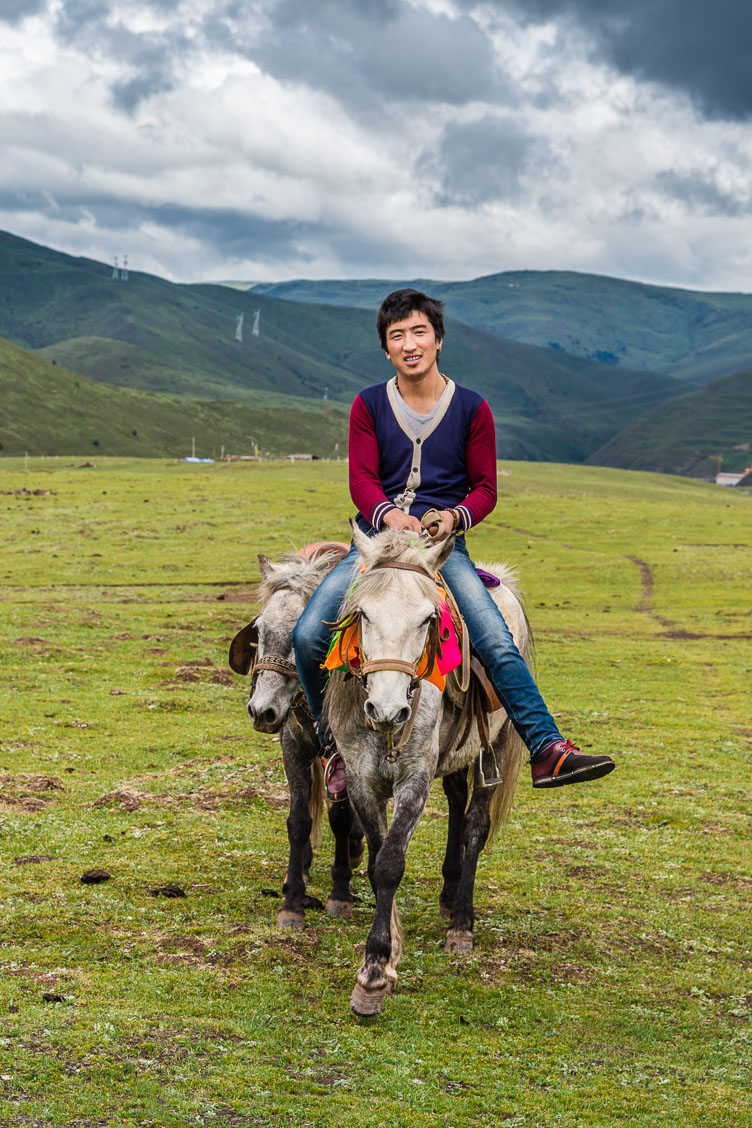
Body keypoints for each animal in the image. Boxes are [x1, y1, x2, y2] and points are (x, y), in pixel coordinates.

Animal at [324, 523, 529, 1019]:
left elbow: (390, 864)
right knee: (456, 804)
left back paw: (461, 925)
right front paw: (391, 949)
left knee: (475, 824)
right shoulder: (360, 779)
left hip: (493, 746)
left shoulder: (414, 779)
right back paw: (448, 896)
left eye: (427, 619)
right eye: (363, 614)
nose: (388, 710)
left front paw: (375, 972)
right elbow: (376, 858)